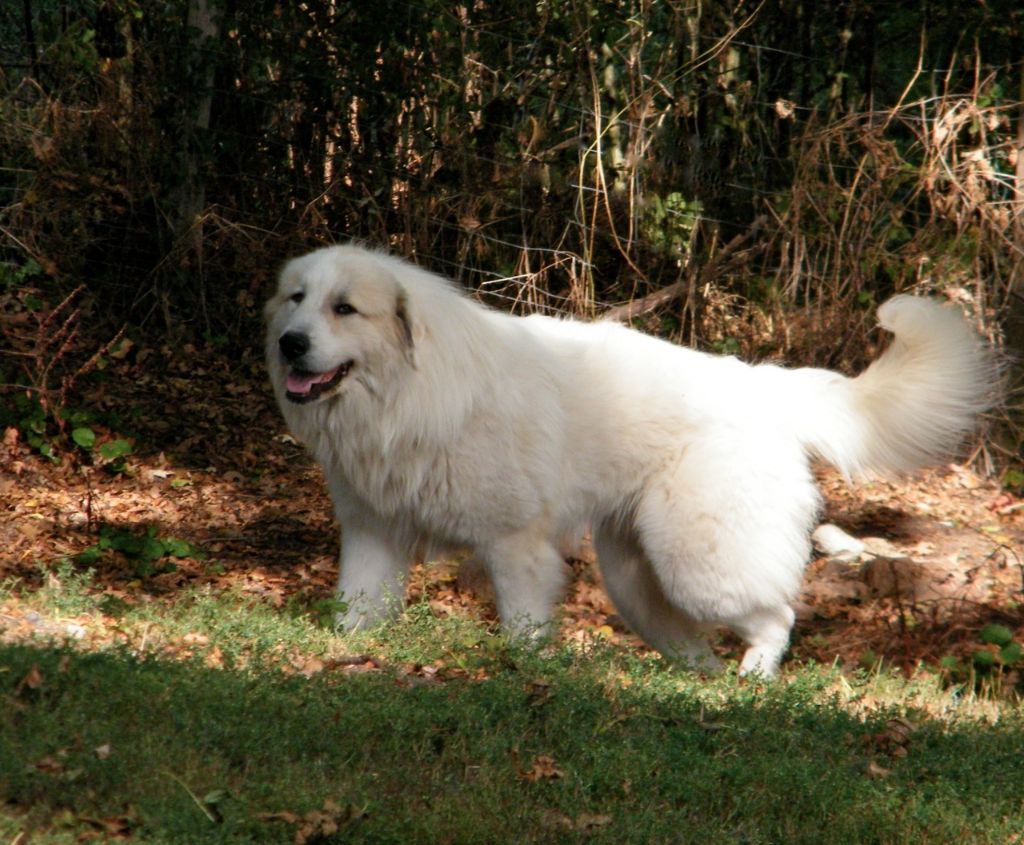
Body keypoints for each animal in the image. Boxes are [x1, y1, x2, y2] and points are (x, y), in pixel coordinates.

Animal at [264, 242, 991, 671]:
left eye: (345, 308)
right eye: (296, 298)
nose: (289, 343)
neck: (406, 392)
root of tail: (762, 383)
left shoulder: (515, 547)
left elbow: (523, 628)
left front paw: (523, 675)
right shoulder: (373, 536)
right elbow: (356, 613)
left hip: (699, 564)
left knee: (776, 616)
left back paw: (754, 684)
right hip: (638, 579)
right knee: (700, 649)